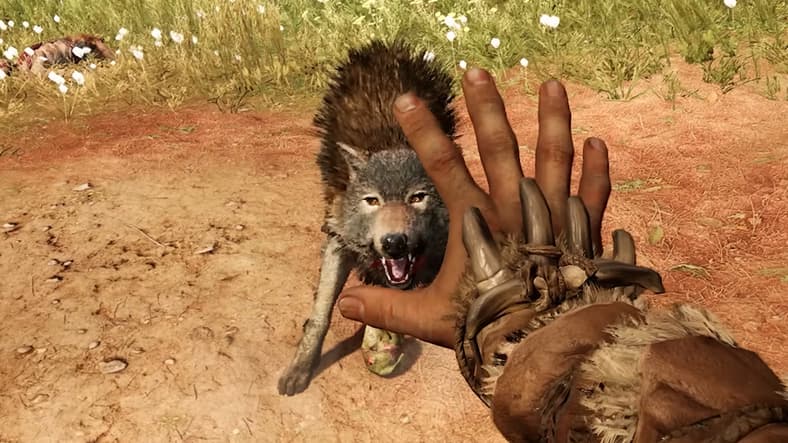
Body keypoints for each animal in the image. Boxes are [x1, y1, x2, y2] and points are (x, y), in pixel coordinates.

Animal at [277, 39, 458, 396]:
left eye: (417, 198)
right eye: (371, 201)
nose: (394, 243)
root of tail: (384, 46)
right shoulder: (339, 241)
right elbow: (320, 315)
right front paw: (301, 368)